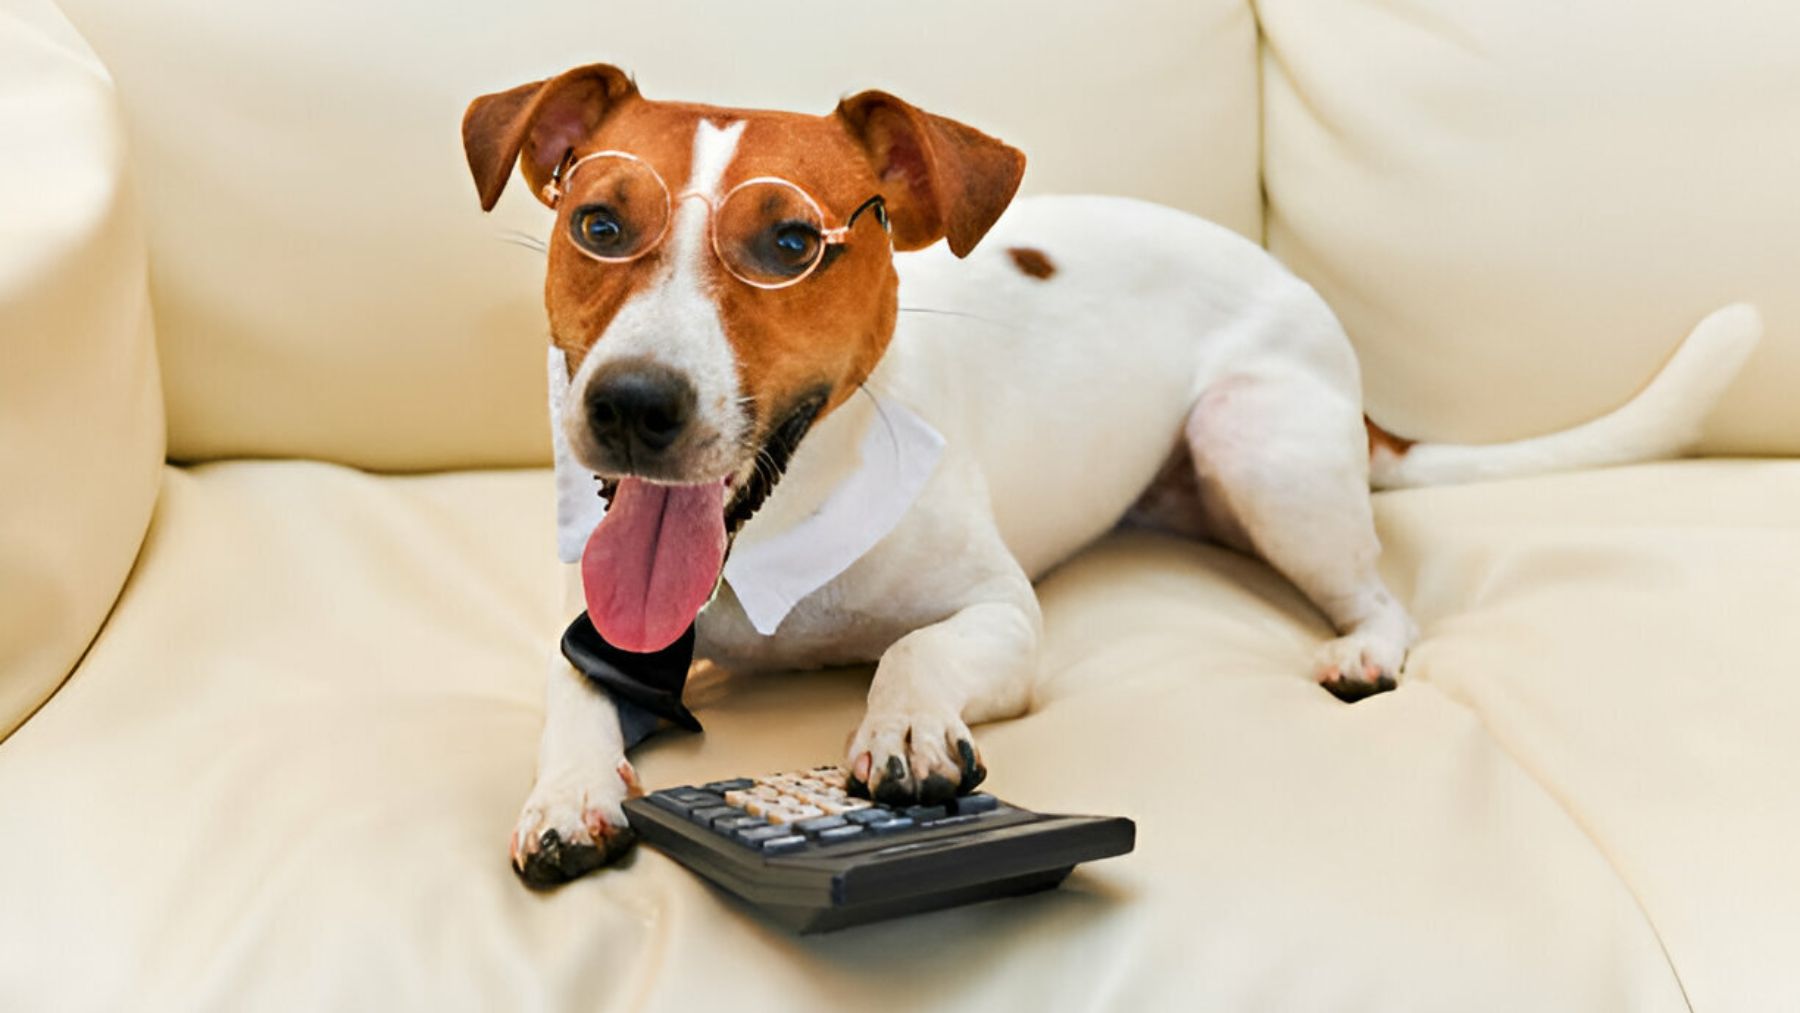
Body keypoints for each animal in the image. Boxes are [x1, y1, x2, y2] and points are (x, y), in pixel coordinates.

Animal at [460, 65, 1756, 888]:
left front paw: (909, 722)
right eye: (596, 224)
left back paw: (1365, 647)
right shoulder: (598, 635)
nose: (630, 406)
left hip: (1256, 442)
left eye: (789, 243)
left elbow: (914, 649)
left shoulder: (1001, 615)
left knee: (1386, 592)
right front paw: (566, 791)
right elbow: (572, 700)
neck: (773, 534)